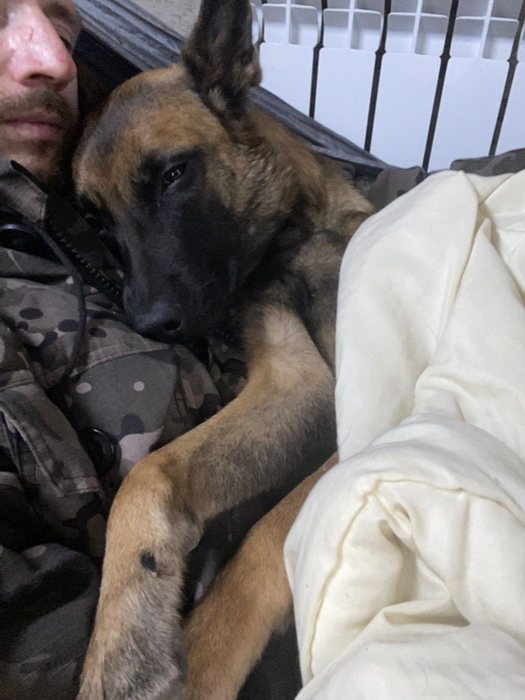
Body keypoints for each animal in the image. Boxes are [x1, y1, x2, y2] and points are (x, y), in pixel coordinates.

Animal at [73, 0, 373, 697]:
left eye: (174, 174)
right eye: (95, 220)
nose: (147, 322)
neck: (291, 237)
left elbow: (270, 534)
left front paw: (203, 650)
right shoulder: (299, 381)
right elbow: (152, 473)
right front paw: (125, 633)